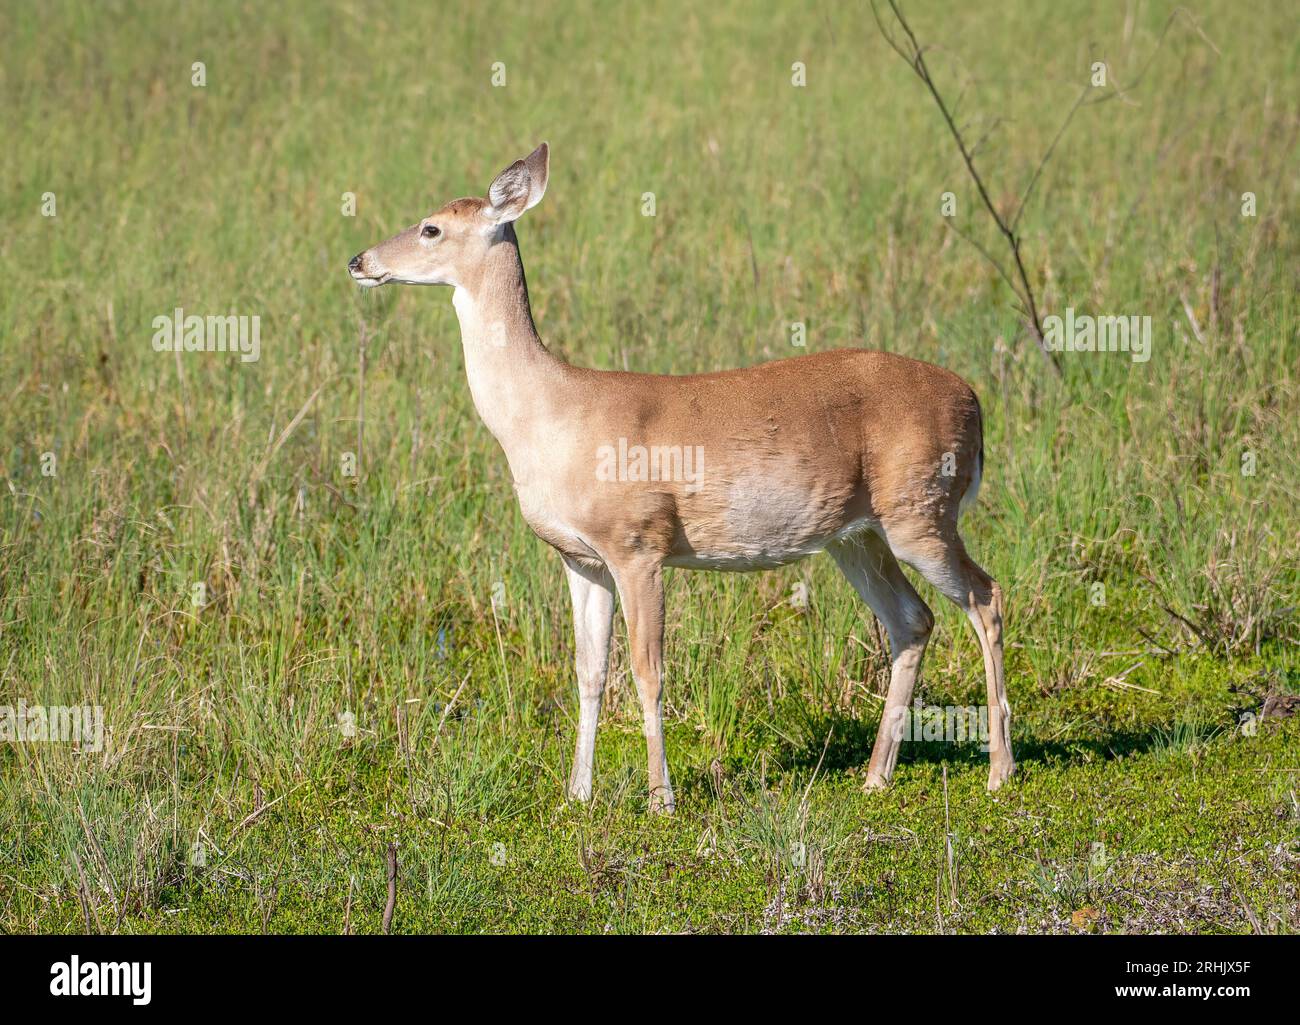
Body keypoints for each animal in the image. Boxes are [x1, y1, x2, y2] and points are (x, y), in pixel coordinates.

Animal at [348, 143, 1013, 813]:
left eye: (431, 227)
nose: (358, 260)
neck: (547, 417)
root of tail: (975, 402)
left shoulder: (638, 542)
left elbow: (648, 671)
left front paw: (661, 800)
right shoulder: (580, 557)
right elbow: (589, 671)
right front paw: (578, 795)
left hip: (921, 509)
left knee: (986, 597)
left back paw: (999, 772)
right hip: (857, 536)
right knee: (913, 620)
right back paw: (877, 777)